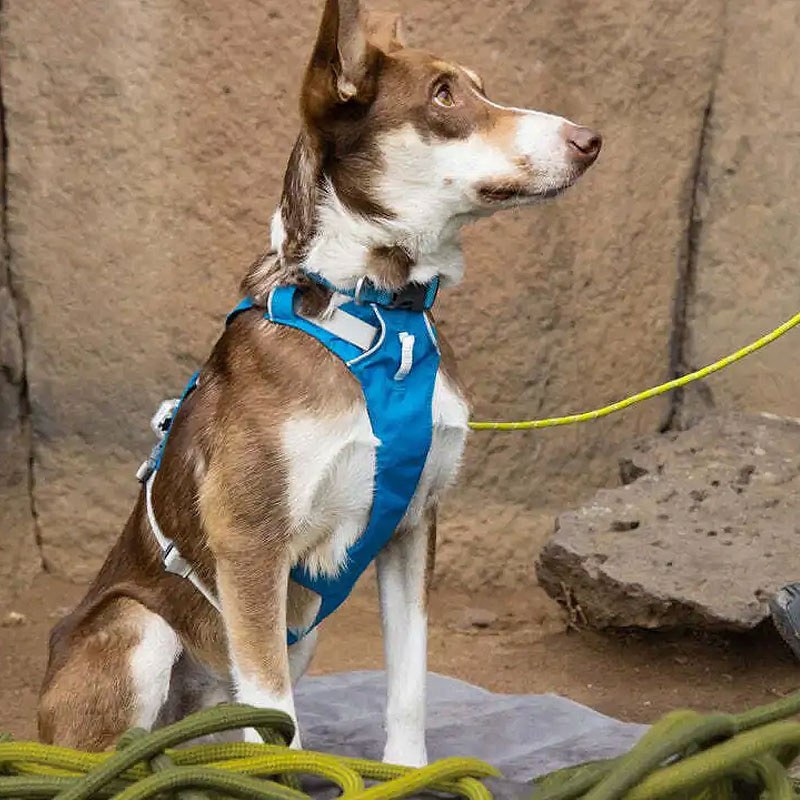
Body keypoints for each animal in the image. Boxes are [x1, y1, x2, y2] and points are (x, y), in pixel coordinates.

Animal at [37, 0, 600, 764]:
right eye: (443, 97)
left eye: (479, 88)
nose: (590, 139)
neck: (377, 311)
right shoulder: (250, 542)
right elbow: (278, 719)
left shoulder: (413, 527)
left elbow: (409, 681)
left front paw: (407, 772)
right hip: (135, 625)